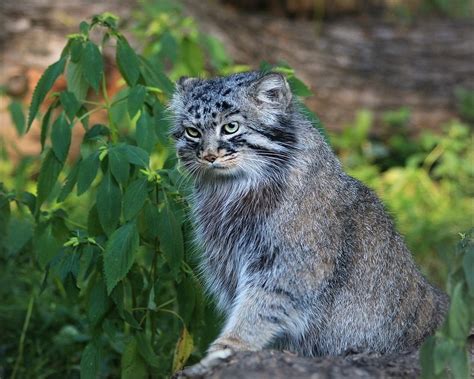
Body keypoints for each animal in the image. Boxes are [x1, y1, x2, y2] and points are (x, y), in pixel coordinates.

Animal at [169, 70, 448, 364]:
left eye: (231, 127)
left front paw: (232, 343)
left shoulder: (291, 265)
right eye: (192, 132)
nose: (208, 156)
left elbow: (260, 306)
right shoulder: (227, 261)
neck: (232, 191)